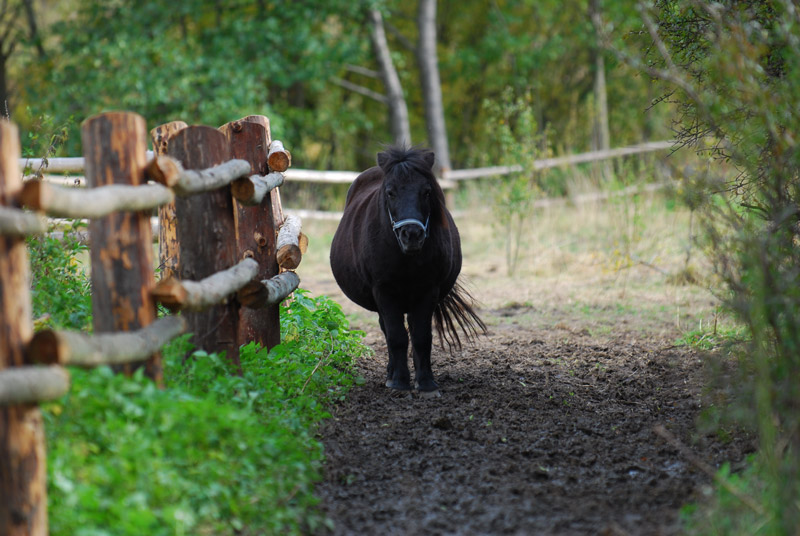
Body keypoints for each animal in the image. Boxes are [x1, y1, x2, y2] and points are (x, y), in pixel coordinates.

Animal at [330, 144, 484, 396]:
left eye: (427, 191)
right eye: (390, 192)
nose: (411, 234)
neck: (406, 258)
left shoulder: (427, 291)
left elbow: (421, 337)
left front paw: (427, 383)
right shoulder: (384, 292)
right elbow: (396, 336)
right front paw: (400, 382)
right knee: (388, 330)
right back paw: (391, 374)